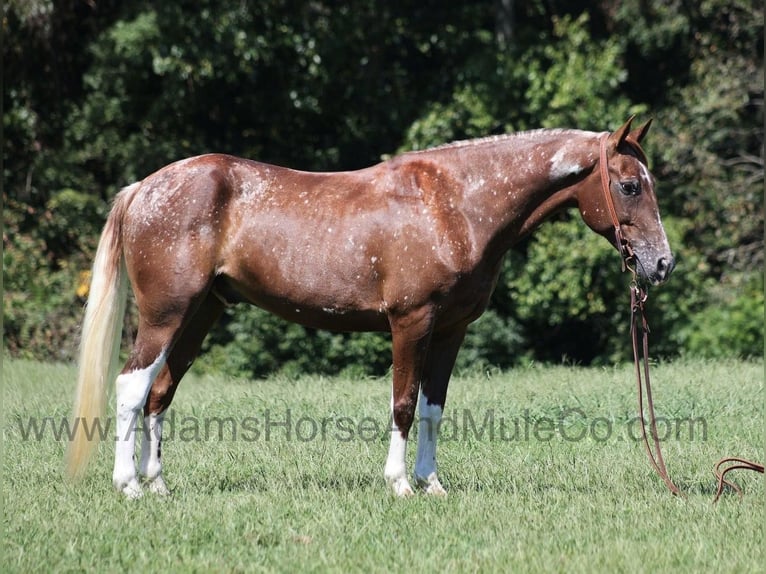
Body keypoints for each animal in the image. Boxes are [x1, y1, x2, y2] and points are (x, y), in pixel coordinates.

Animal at [69, 116, 676, 500]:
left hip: (202, 314)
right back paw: (129, 487)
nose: (662, 263)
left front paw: (433, 483)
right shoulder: (411, 322)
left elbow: (433, 407)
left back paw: (158, 484)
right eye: (629, 185)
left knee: (161, 392)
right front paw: (400, 484)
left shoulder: (451, 331)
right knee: (131, 386)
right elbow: (403, 404)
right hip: (166, 315)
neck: (456, 205)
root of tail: (143, 188)